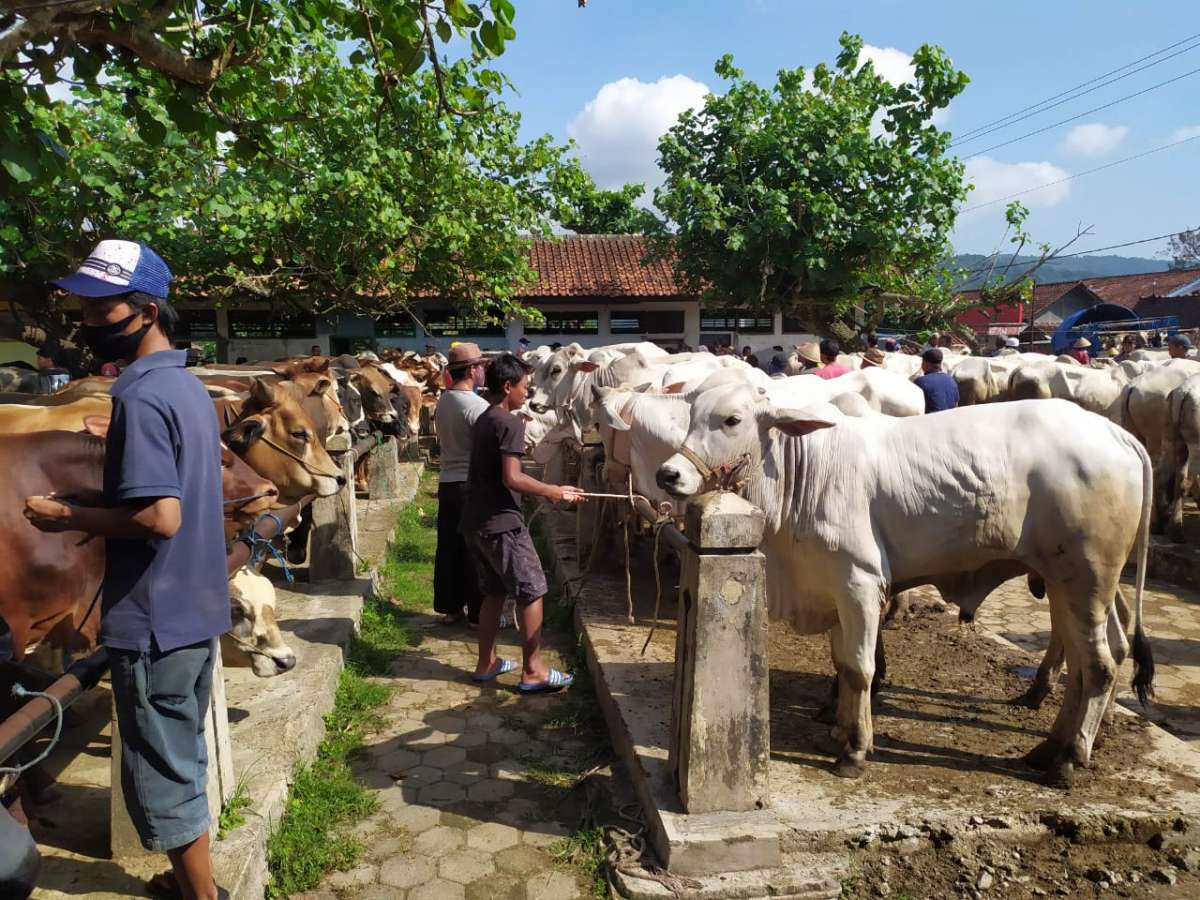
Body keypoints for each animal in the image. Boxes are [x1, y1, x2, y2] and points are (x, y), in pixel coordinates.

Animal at [657, 391, 1152, 787]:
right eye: (692, 414)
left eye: (731, 419)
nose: (669, 475)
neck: (804, 471)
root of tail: (1117, 434)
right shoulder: (832, 586)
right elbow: (842, 663)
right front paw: (839, 730)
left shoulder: (858, 581)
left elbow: (860, 668)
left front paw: (855, 750)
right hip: (1066, 583)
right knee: (1092, 661)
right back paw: (1049, 748)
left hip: (1087, 579)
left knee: (1100, 666)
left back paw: (1069, 760)